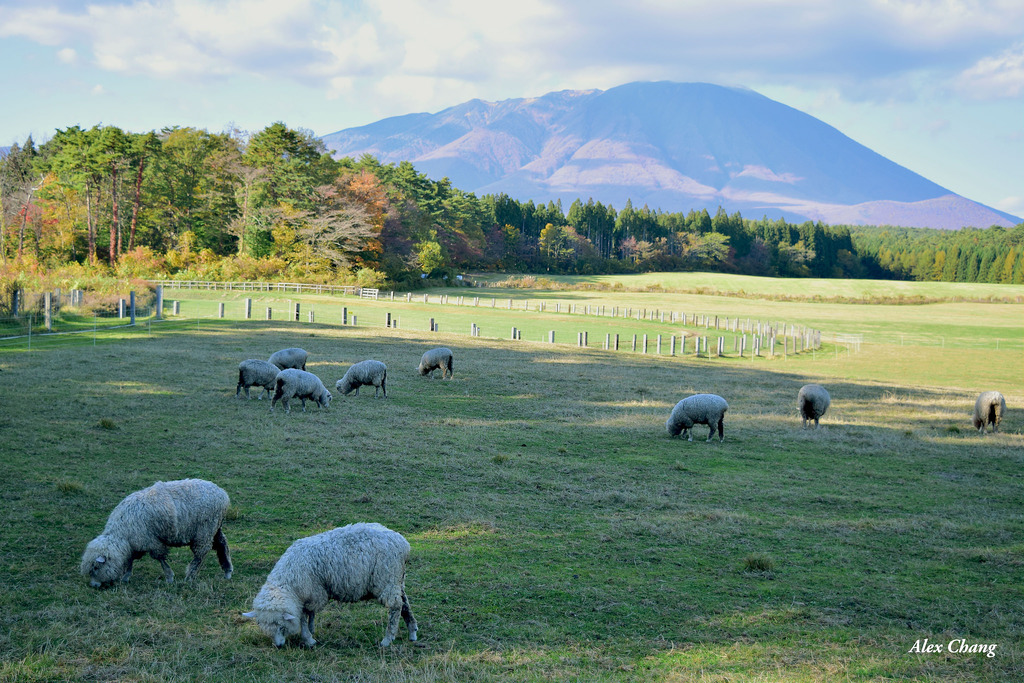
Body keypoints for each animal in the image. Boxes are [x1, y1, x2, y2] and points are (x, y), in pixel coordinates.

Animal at [79, 481, 232, 589]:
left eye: (95, 568)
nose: (94, 586)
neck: (122, 533)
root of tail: (223, 493)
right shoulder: (136, 543)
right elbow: (130, 560)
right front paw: (126, 577)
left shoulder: (150, 541)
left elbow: (160, 558)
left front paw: (169, 577)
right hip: (215, 528)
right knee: (222, 545)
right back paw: (227, 571)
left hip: (205, 530)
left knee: (201, 553)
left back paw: (190, 575)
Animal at [241, 524, 417, 647]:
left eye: (280, 626)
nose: (278, 646)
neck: (289, 582)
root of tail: (404, 544)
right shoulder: (310, 595)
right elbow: (309, 615)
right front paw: (311, 631)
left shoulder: (311, 593)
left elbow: (304, 616)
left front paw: (308, 638)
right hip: (398, 580)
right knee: (405, 604)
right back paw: (412, 632)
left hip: (386, 579)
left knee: (395, 607)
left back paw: (387, 639)